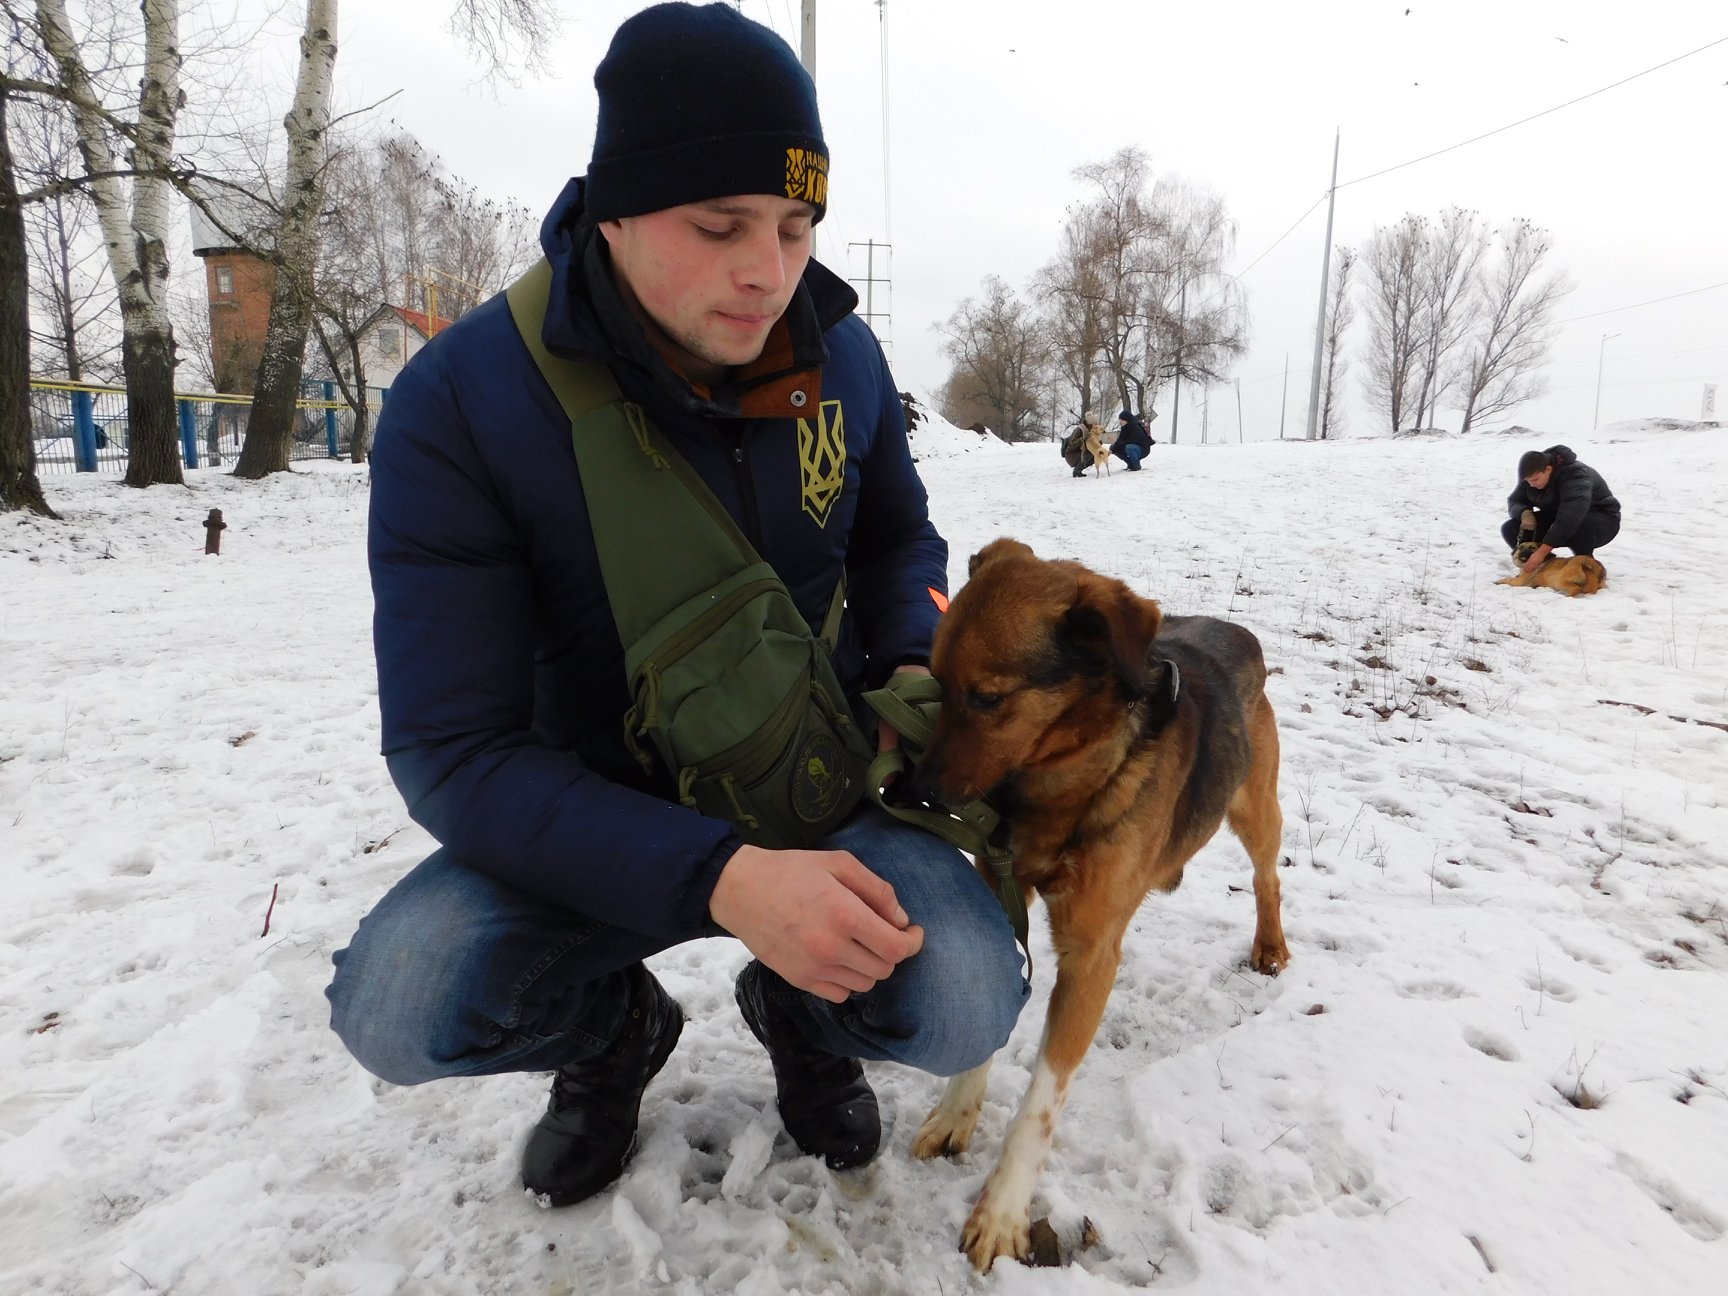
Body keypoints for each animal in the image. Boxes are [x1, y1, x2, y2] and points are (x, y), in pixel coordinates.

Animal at [910, 538, 1289, 1270]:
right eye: (935, 681)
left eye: (988, 697)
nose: (916, 789)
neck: (1059, 780)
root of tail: (1238, 632)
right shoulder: (1000, 889)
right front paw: (957, 1112)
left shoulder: (1088, 958)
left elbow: (1040, 1104)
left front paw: (1003, 1212)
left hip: (1256, 809)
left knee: (1267, 878)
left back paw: (1271, 945)